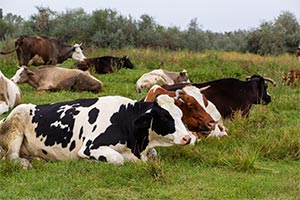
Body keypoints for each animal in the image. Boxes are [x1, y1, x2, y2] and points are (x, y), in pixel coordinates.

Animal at [0, 94, 192, 168]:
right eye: (165, 117)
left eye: (180, 114)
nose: (187, 138)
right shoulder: (89, 147)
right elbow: (117, 159)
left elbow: (154, 154)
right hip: (16, 122)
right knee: (10, 156)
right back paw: (25, 163)